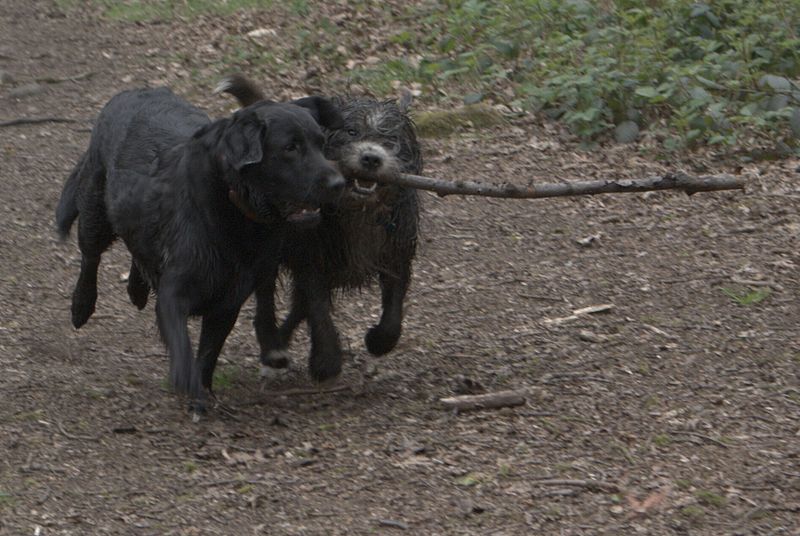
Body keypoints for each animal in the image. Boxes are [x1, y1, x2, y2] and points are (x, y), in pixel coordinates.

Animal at [55, 89, 344, 414]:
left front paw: (201, 395)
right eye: (290, 148)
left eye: (321, 144)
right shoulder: (173, 295)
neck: (236, 212)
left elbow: (208, 353)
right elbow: (183, 344)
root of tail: (130, 92)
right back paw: (81, 305)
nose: (339, 183)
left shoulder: (228, 302)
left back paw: (137, 289)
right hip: (96, 214)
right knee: (90, 257)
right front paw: (187, 382)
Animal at [216, 75, 422, 384]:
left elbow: (393, 312)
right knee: (267, 300)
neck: (356, 209)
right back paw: (273, 349)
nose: (371, 158)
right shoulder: (310, 256)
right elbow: (318, 306)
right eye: (351, 131)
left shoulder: (395, 251)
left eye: (391, 140)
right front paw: (326, 359)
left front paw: (379, 340)